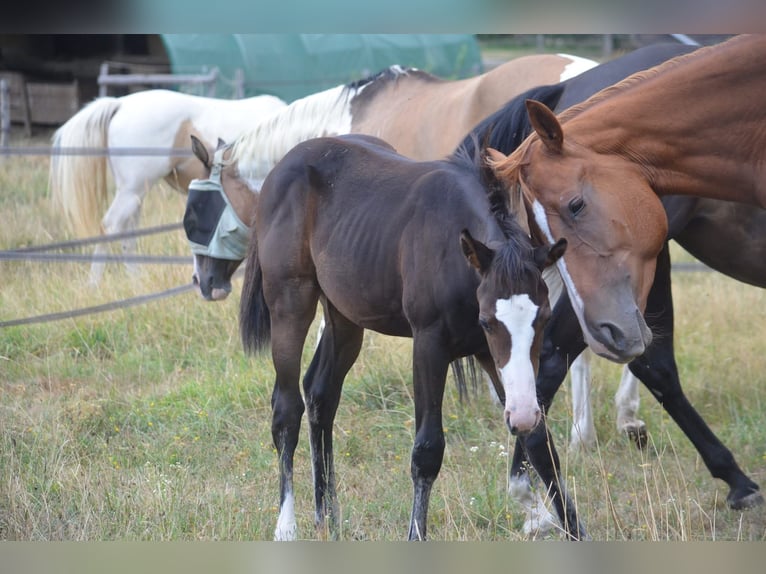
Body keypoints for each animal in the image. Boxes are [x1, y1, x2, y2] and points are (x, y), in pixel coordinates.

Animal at [49, 89, 287, 283]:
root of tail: (120, 104)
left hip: (134, 194)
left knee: (127, 234)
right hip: (131, 192)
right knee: (109, 226)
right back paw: (94, 285)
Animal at [237, 133, 567, 540]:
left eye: (544, 317)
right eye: (489, 321)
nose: (521, 415)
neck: (455, 255)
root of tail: (280, 168)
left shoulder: (490, 355)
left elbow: (540, 443)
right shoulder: (431, 344)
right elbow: (427, 450)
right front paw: (415, 534)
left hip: (345, 317)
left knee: (320, 394)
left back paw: (327, 516)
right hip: (290, 305)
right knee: (286, 409)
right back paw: (287, 525)